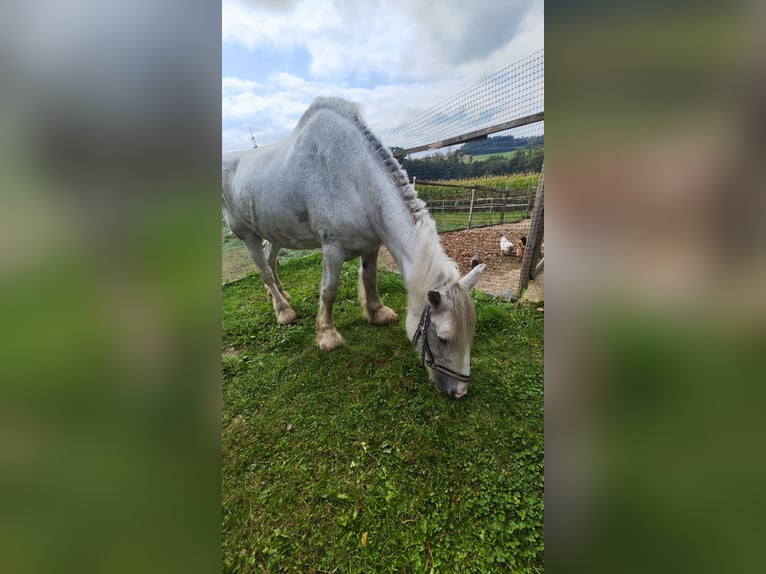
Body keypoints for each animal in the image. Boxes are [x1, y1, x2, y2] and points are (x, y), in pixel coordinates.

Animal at [222, 97, 485, 398]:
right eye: (442, 338)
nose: (459, 392)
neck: (356, 178)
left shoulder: (372, 245)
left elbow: (370, 279)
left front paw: (377, 313)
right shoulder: (331, 249)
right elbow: (329, 292)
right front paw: (328, 336)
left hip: (274, 233)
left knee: (271, 261)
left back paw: (280, 293)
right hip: (247, 236)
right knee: (263, 270)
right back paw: (284, 311)